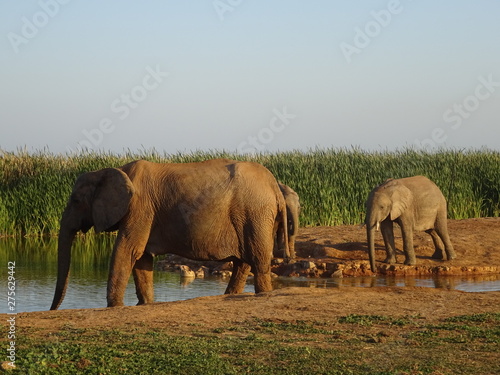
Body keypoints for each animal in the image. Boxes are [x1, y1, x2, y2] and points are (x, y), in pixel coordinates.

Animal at [49, 158, 290, 308]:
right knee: (244, 261)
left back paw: (262, 294)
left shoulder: (140, 208)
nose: (51, 310)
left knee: (257, 259)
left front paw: (114, 307)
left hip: (255, 213)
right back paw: (231, 295)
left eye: (76, 200)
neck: (114, 170)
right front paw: (145, 304)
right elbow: (142, 258)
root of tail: (274, 186)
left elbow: (127, 250)